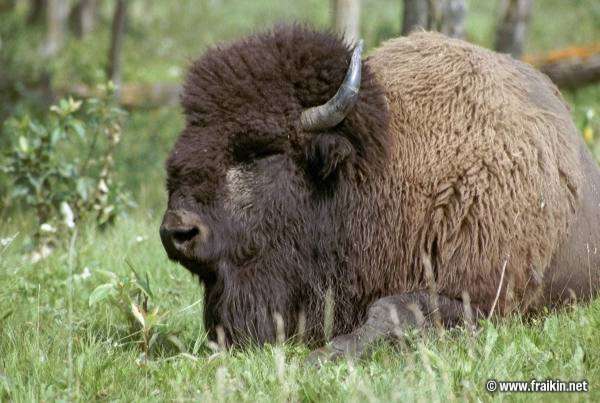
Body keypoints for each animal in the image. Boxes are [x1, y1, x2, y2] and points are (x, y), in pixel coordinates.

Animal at [160, 25, 600, 360]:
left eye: (262, 150)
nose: (177, 231)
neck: (378, 172)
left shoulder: (481, 298)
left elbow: (391, 309)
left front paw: (326, 354)